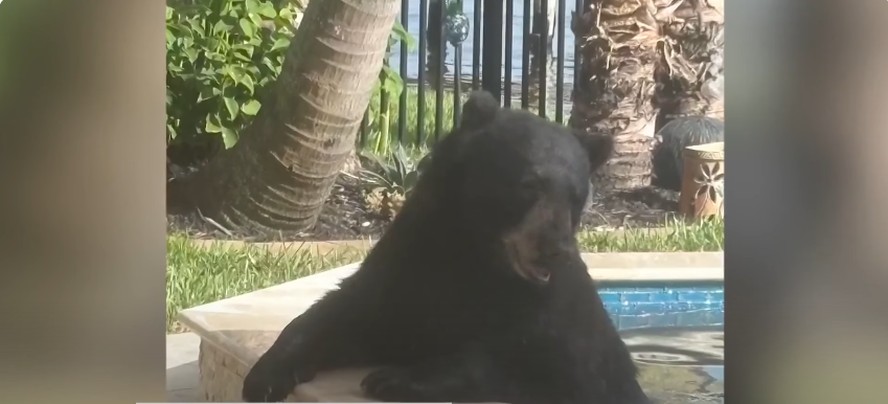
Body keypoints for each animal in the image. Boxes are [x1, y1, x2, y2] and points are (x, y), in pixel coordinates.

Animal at [241, 90, 650, 404]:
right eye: (529, 185)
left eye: (577, 196)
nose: (556, 249)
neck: (473, 251)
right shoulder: (407, 263)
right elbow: (346, 312)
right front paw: (265, 376)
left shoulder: (551, 319)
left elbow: (527, 362)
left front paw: (393, 379)